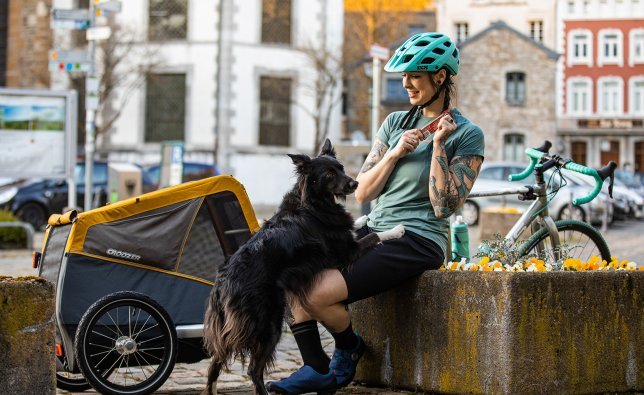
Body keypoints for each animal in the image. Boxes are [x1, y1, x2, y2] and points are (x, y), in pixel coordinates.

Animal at [201, 140, 402, 395]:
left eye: (341, 168)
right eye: (329, 174)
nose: (355, 183)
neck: (314, 202)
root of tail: (222, 283)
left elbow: (355, 226)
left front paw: (361, 219)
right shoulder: (346, 252)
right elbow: (374, 236)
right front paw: (397, 230)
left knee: (215, 361)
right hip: (268, 323)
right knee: (253, 370)